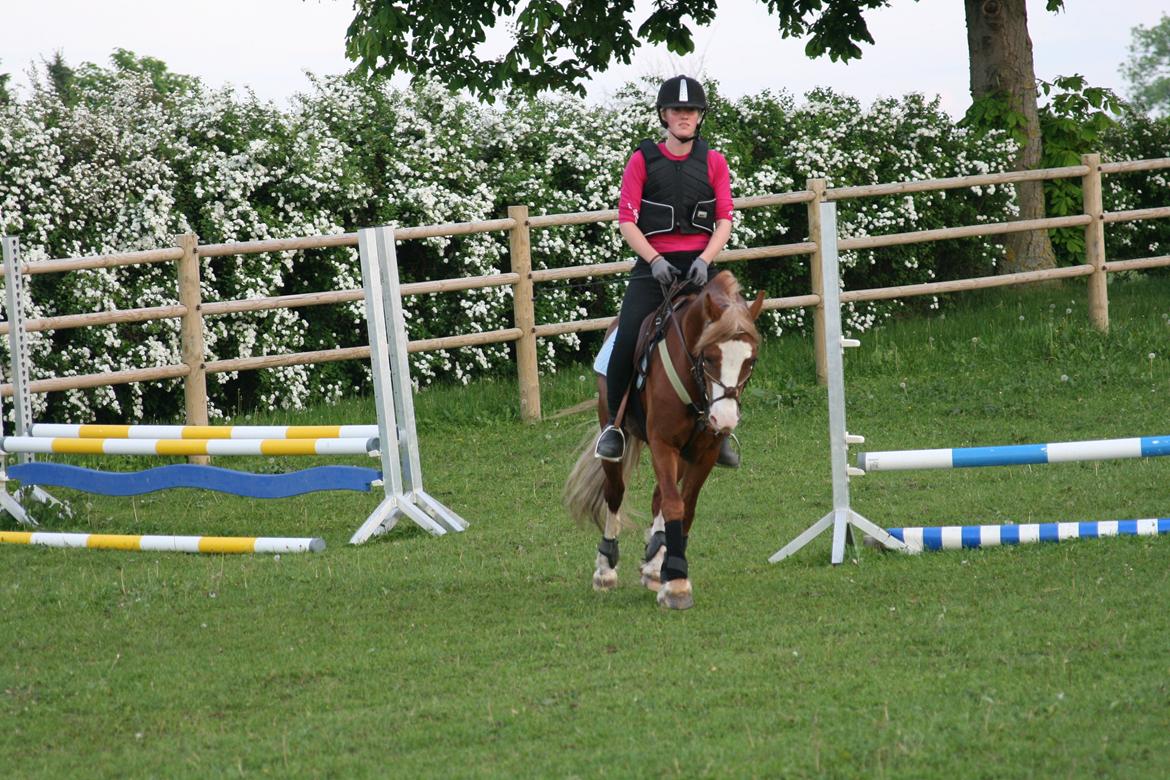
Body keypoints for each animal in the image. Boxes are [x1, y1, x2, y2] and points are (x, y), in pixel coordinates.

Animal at [561, 274, 762, 608]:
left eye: (751, 360)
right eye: (709, 357)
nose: (724, 420)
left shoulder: (704, 453)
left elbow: (684, 507)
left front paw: (669, 570)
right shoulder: (663, 444)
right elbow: (672, 504)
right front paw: (677, 585)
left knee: (658, 497)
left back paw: (655, 562)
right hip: (617, 434)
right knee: (615, 493)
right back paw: (606, 569)